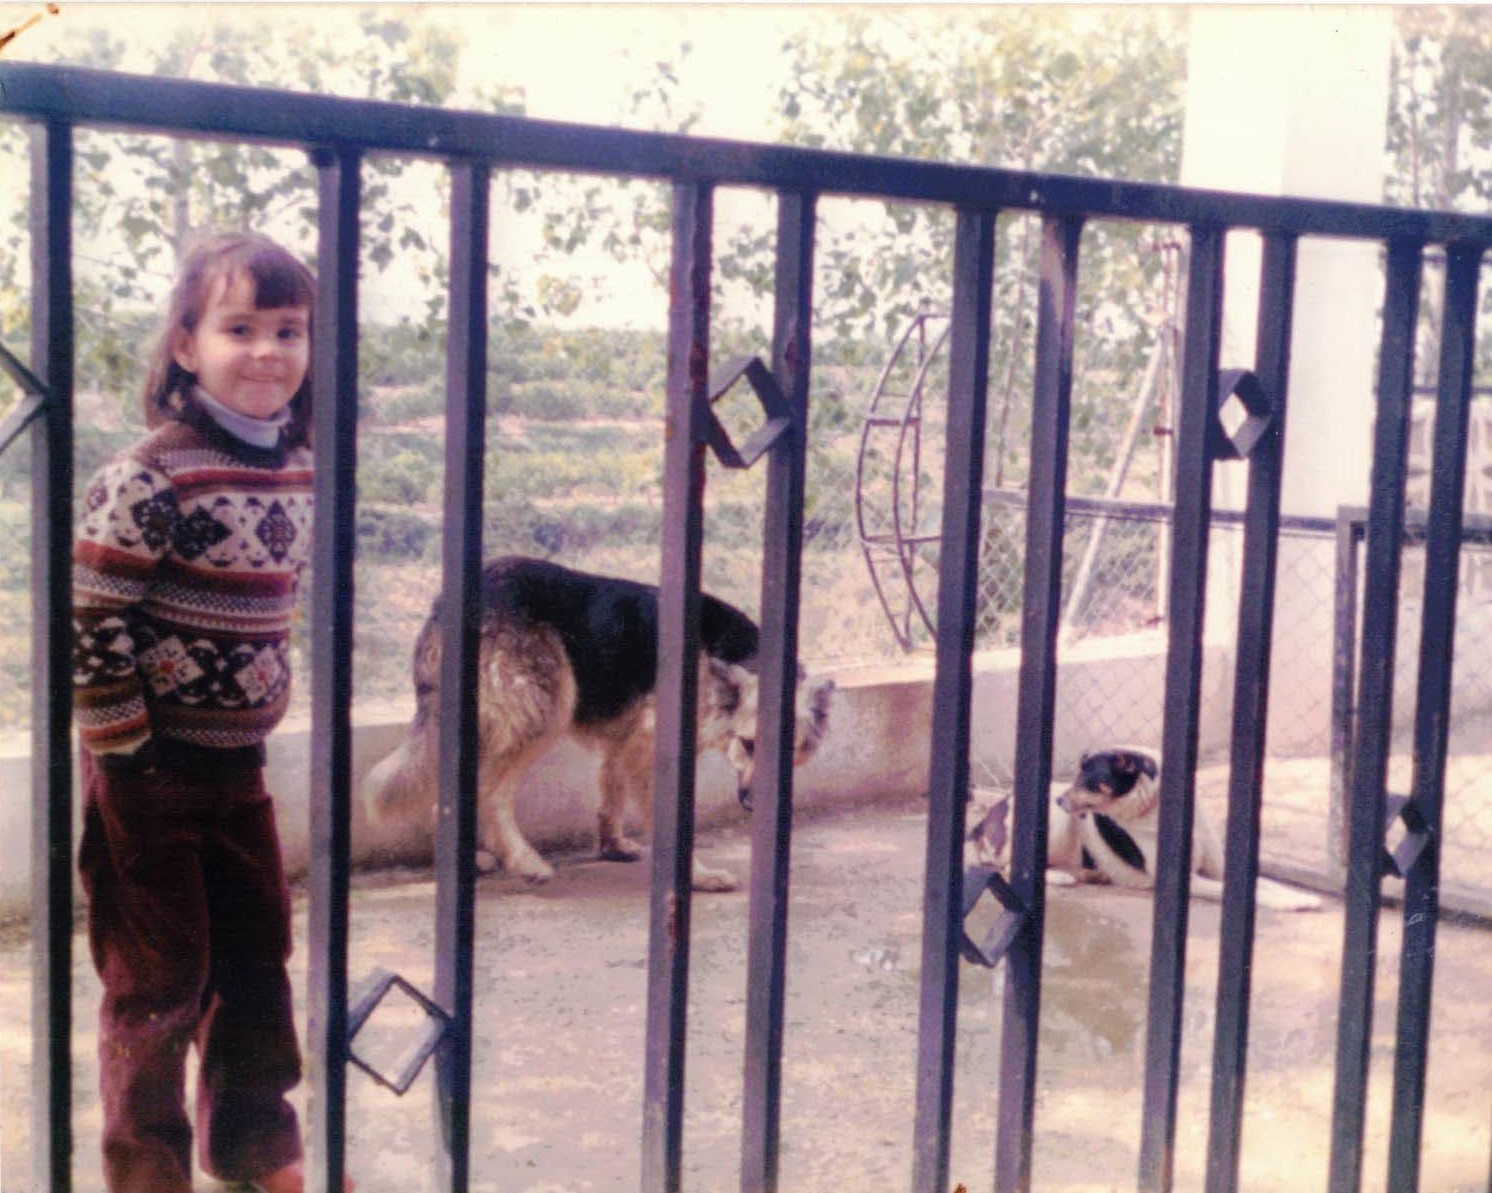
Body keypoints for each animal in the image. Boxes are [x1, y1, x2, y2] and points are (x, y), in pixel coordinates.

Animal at [356, 557, 835, 882]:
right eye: (749, 743)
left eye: (791, 749)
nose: (754, 802)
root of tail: (445, 603)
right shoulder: (649, 744)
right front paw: (697, 877)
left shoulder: (626, 742)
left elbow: (611, 795)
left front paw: (612, 846)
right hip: (544, 712)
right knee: (492, 793)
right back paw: (524, 862)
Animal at [972, 745, 1324, 912]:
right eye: (1076, 776)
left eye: (1089, 779)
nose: (1060, 799)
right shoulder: (1186, 880)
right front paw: (1289, 904)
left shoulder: (1221, 869)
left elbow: (1264, 885)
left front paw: (1296, 897)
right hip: (1057, 823)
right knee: (1008, 867)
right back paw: (1064, 876)